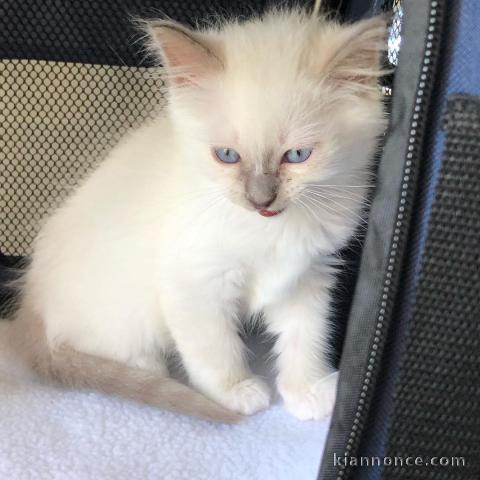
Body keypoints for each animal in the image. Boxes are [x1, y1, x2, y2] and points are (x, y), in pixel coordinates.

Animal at [4, 7, 386, 420]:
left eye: (297, 156)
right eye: (227, 156)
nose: (260, 200)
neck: (270, 233)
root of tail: (27, 310)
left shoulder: (307, 275)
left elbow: (307, 338)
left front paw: (308, 393)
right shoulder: (195, 282)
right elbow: (214, 349)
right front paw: (237, 394)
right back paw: (148, 368)